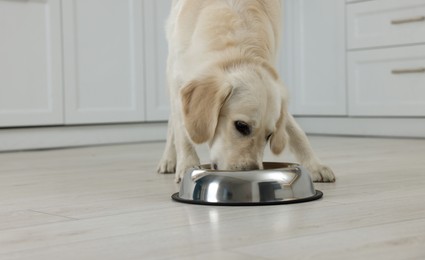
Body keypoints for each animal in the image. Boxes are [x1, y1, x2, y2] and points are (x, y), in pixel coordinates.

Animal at [156, 0, 334, 183]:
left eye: (269, 135)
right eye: (241, 126)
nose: (250, 172)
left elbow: (294, 128)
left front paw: (315, 165)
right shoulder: (178, 78)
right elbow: (182, 131)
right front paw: (187, 165)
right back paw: (168, 159)